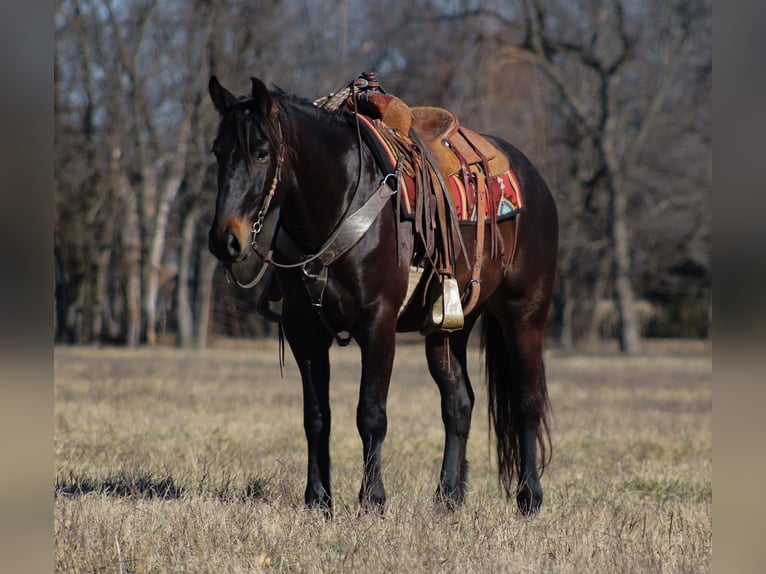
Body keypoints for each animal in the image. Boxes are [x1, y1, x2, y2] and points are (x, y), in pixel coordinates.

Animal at [206, 75, 558, 515]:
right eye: (218, 152)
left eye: (262, 152)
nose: (224, 240)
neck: (340, 200)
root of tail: (533, 179)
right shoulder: (304, 331)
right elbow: (316, 416)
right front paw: (318, 498)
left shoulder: (378, 324)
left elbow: (370, 413)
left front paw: (372, 498)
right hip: (450, 327)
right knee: (458, 403)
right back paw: (447, 496)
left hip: (524, 313)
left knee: (527, 401)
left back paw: (530, 496)